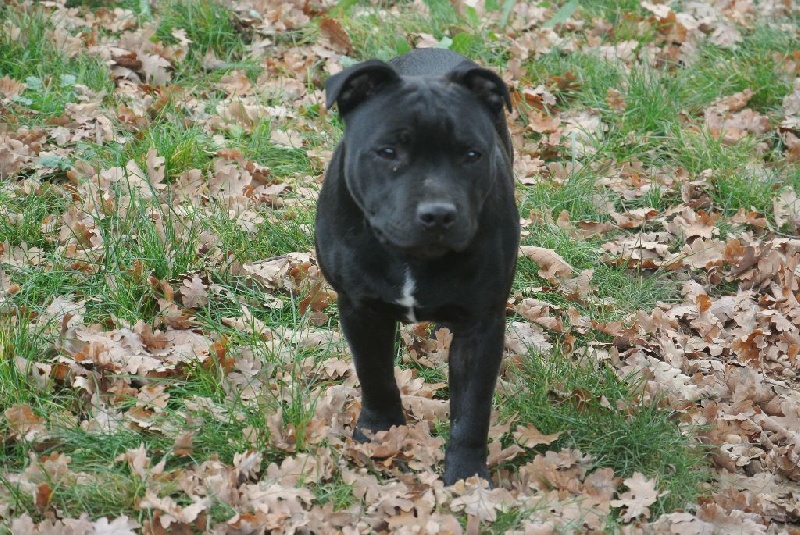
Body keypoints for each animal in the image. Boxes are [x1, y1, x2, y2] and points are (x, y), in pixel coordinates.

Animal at [314, 49, 520, 486]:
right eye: (389, 152)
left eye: (472, 155)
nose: (438, 213)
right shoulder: (360, 309)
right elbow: (375, 375)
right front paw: (379, 431)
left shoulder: (482, 326)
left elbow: (472, 409)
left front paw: (466, 477)